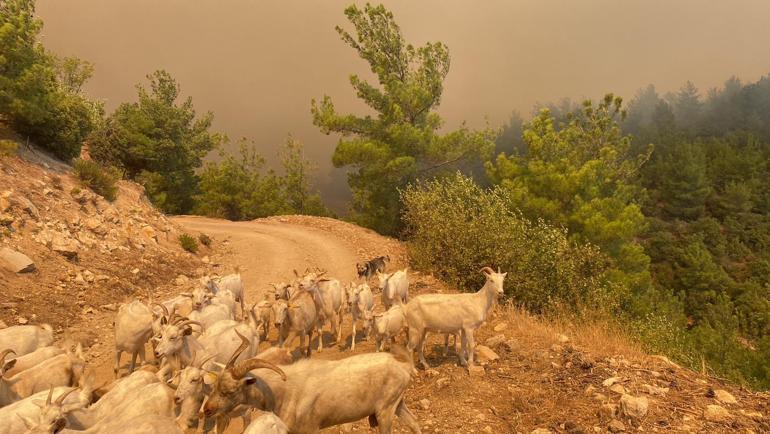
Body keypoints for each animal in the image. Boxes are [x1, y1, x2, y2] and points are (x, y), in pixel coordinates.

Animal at [202, 338, 420, 434]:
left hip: (385, 411)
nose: (207, 410)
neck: (284, 391)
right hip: (397, 404)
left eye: (230, 391)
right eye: (214, 386)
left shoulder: (309, 428)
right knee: (413, 423)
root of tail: (404, 366)